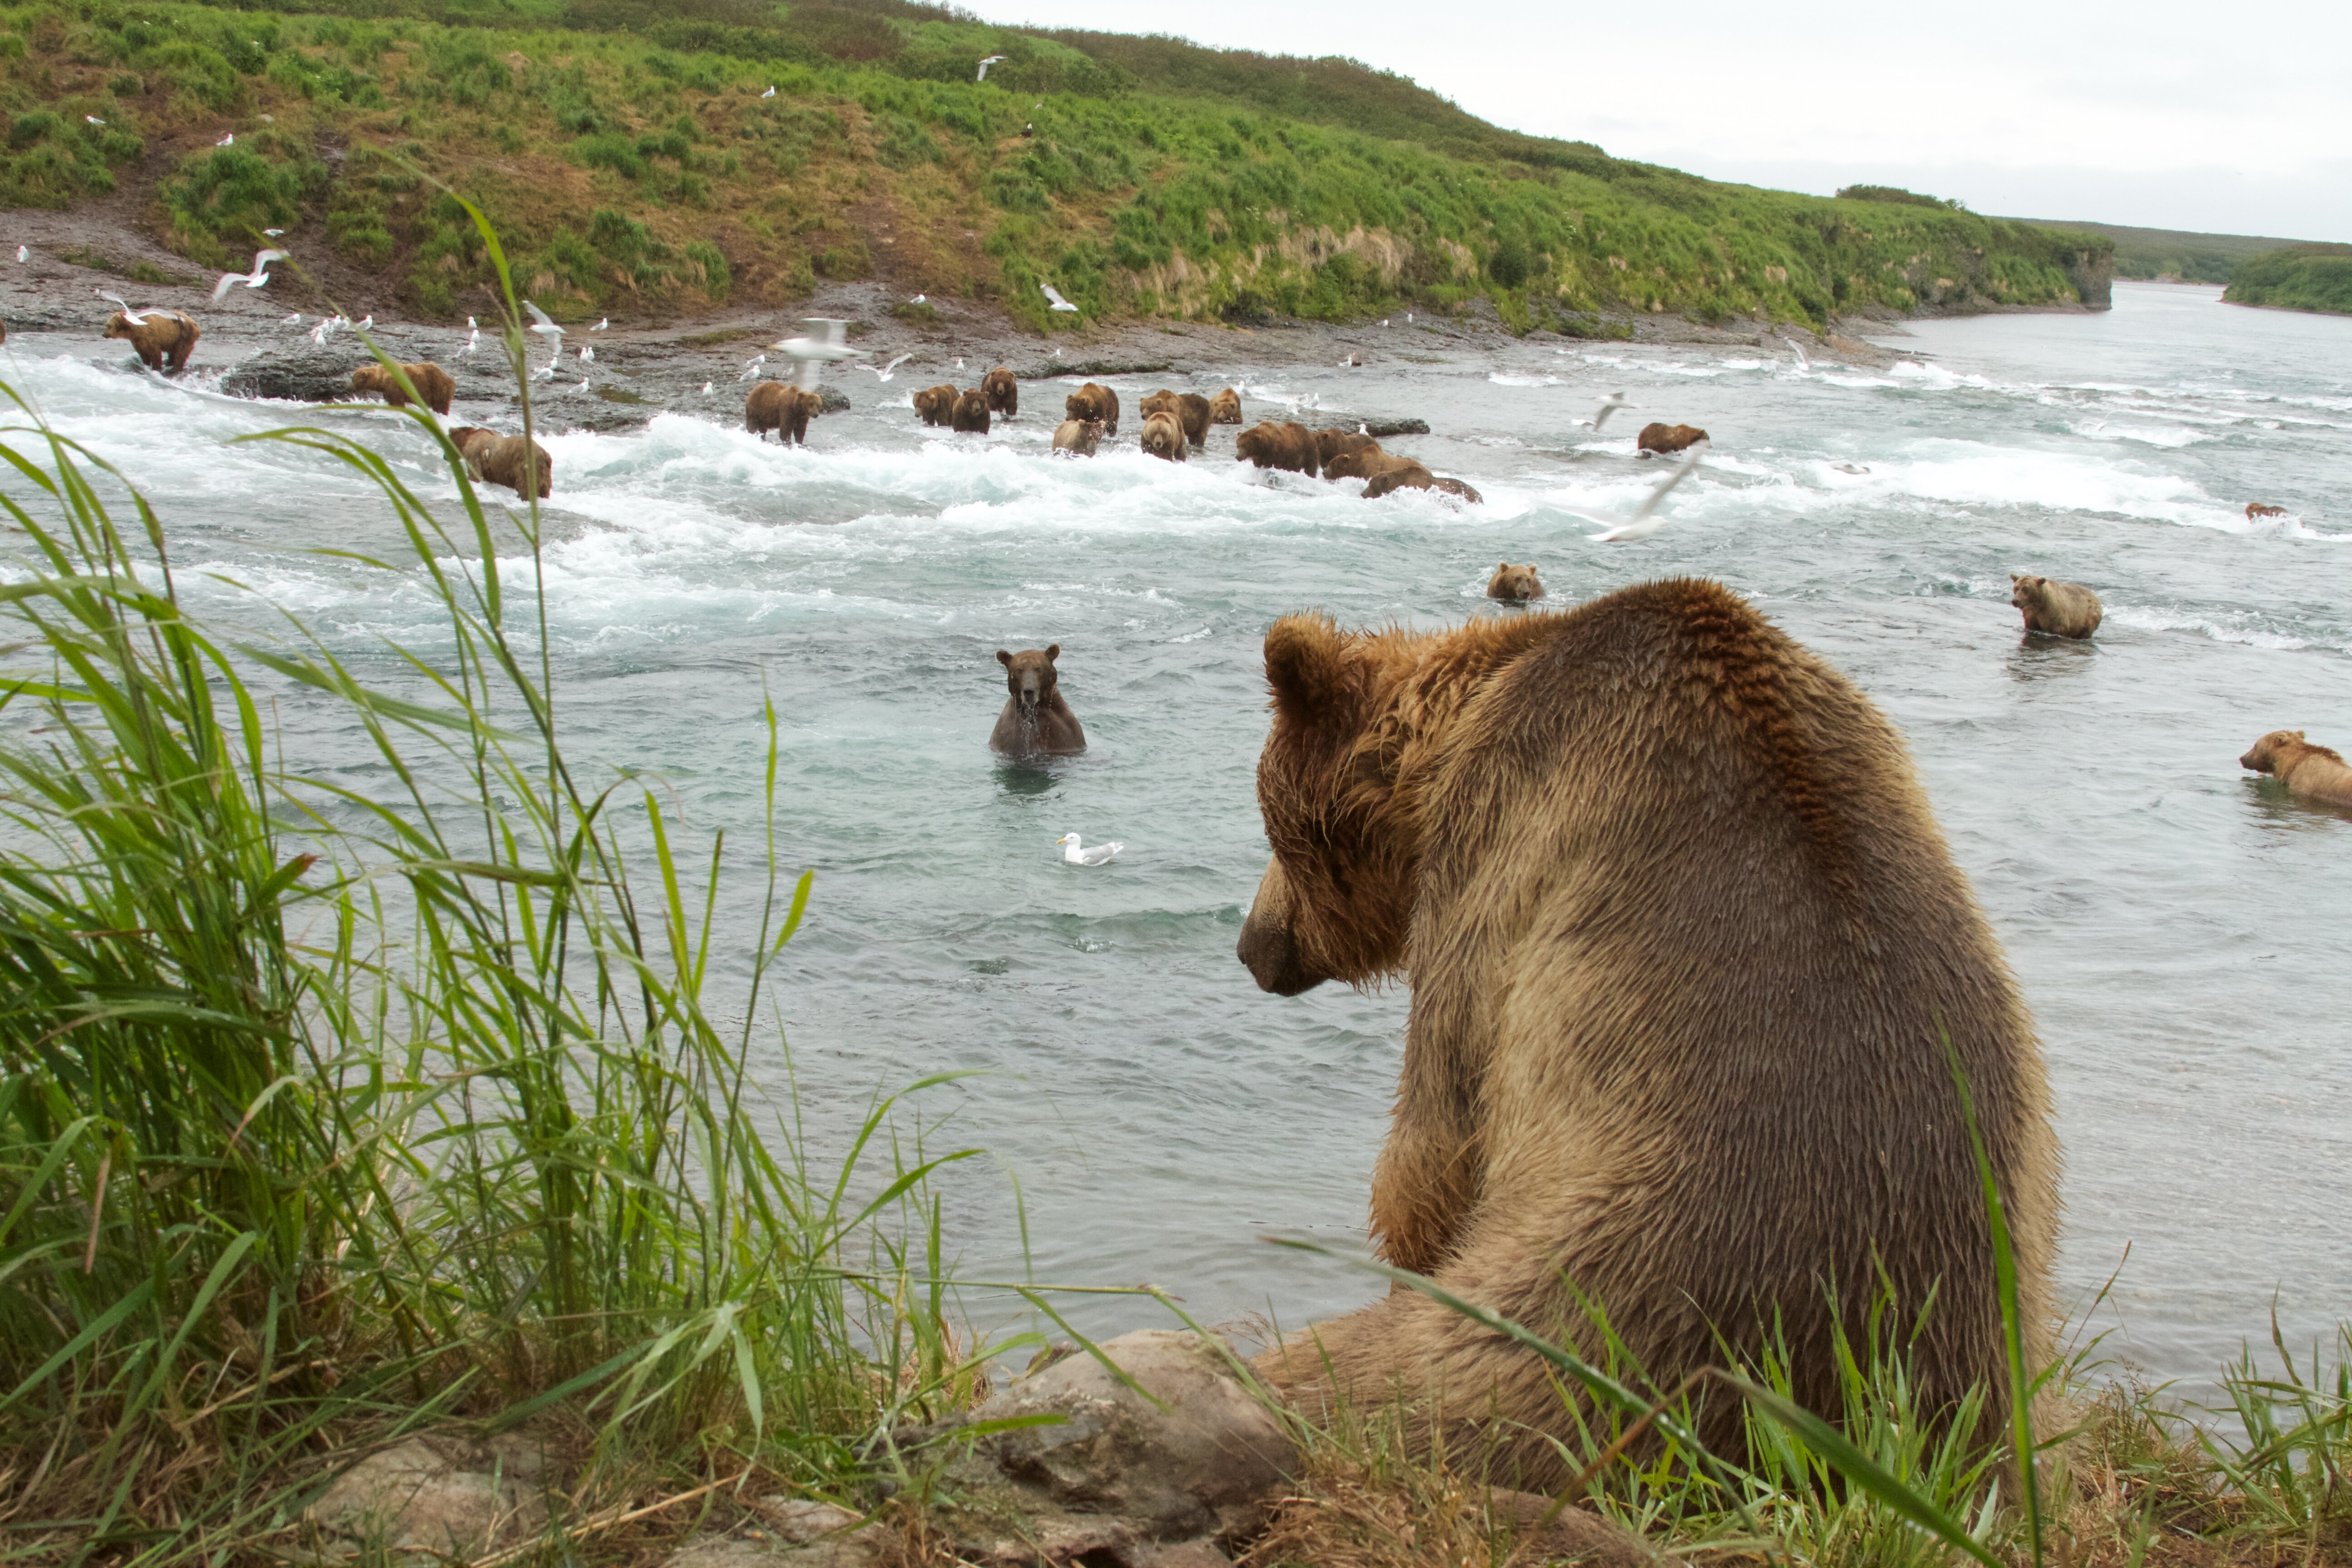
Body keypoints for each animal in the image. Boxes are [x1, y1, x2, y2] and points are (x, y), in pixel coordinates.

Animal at [104, 310, 200, 373]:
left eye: (109, 325)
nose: (104, 334)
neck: (136, 330)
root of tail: (197, 326)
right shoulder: (137, 341)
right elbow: (143, 354)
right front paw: (146, 364)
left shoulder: (151, 338)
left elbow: (155, 354)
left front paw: (156, 368)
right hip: (175, 340)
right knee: (173, 353)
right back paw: (169, 364)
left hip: (184, 336)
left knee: (181, 353)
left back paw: (175, 369)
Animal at [350, 361, 456, 416]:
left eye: (354, 380)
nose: (351, 388)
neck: (382, 379)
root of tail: (451, 380)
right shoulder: (387, 390)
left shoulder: (394, 385)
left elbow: (397, 402)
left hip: (439, 388)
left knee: (441, 406)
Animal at [1235, 420, 1319, 477]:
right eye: (1238, 445)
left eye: (1245, 446)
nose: (1238, 457)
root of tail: (1311, 435)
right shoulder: (1259, 457)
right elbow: (1258, 464)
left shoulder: (1276, 455)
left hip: (1308, 452)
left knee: (1311, 468)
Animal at [2009, 574, 2101, 639]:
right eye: (2016, 588)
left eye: (2025, 589)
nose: (2015, 601)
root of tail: (2097, 598)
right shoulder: (2031, 614)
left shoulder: (2054, 616)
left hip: (2088, 616)